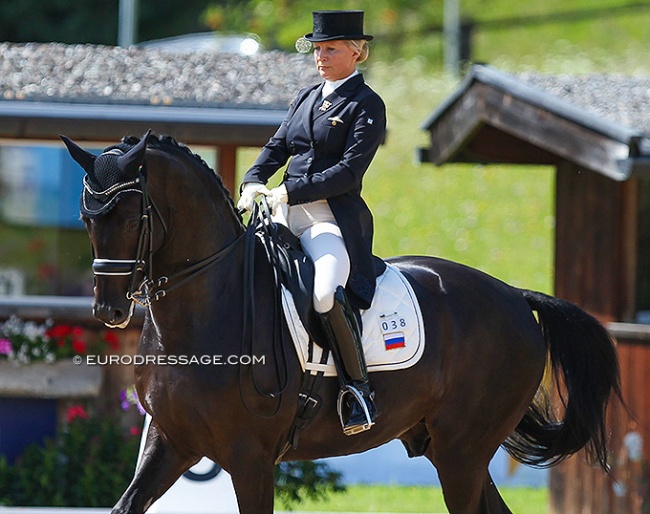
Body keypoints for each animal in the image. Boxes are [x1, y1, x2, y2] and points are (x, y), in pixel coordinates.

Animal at [63, 132, 620, 512]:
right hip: (451, 449)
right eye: (87, 218)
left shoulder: (249, 457)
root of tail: (514, 297)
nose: (110, 311)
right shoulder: (170, 441)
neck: (204, 307)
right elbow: (125, 506)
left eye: (131, 217)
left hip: (463, 451)